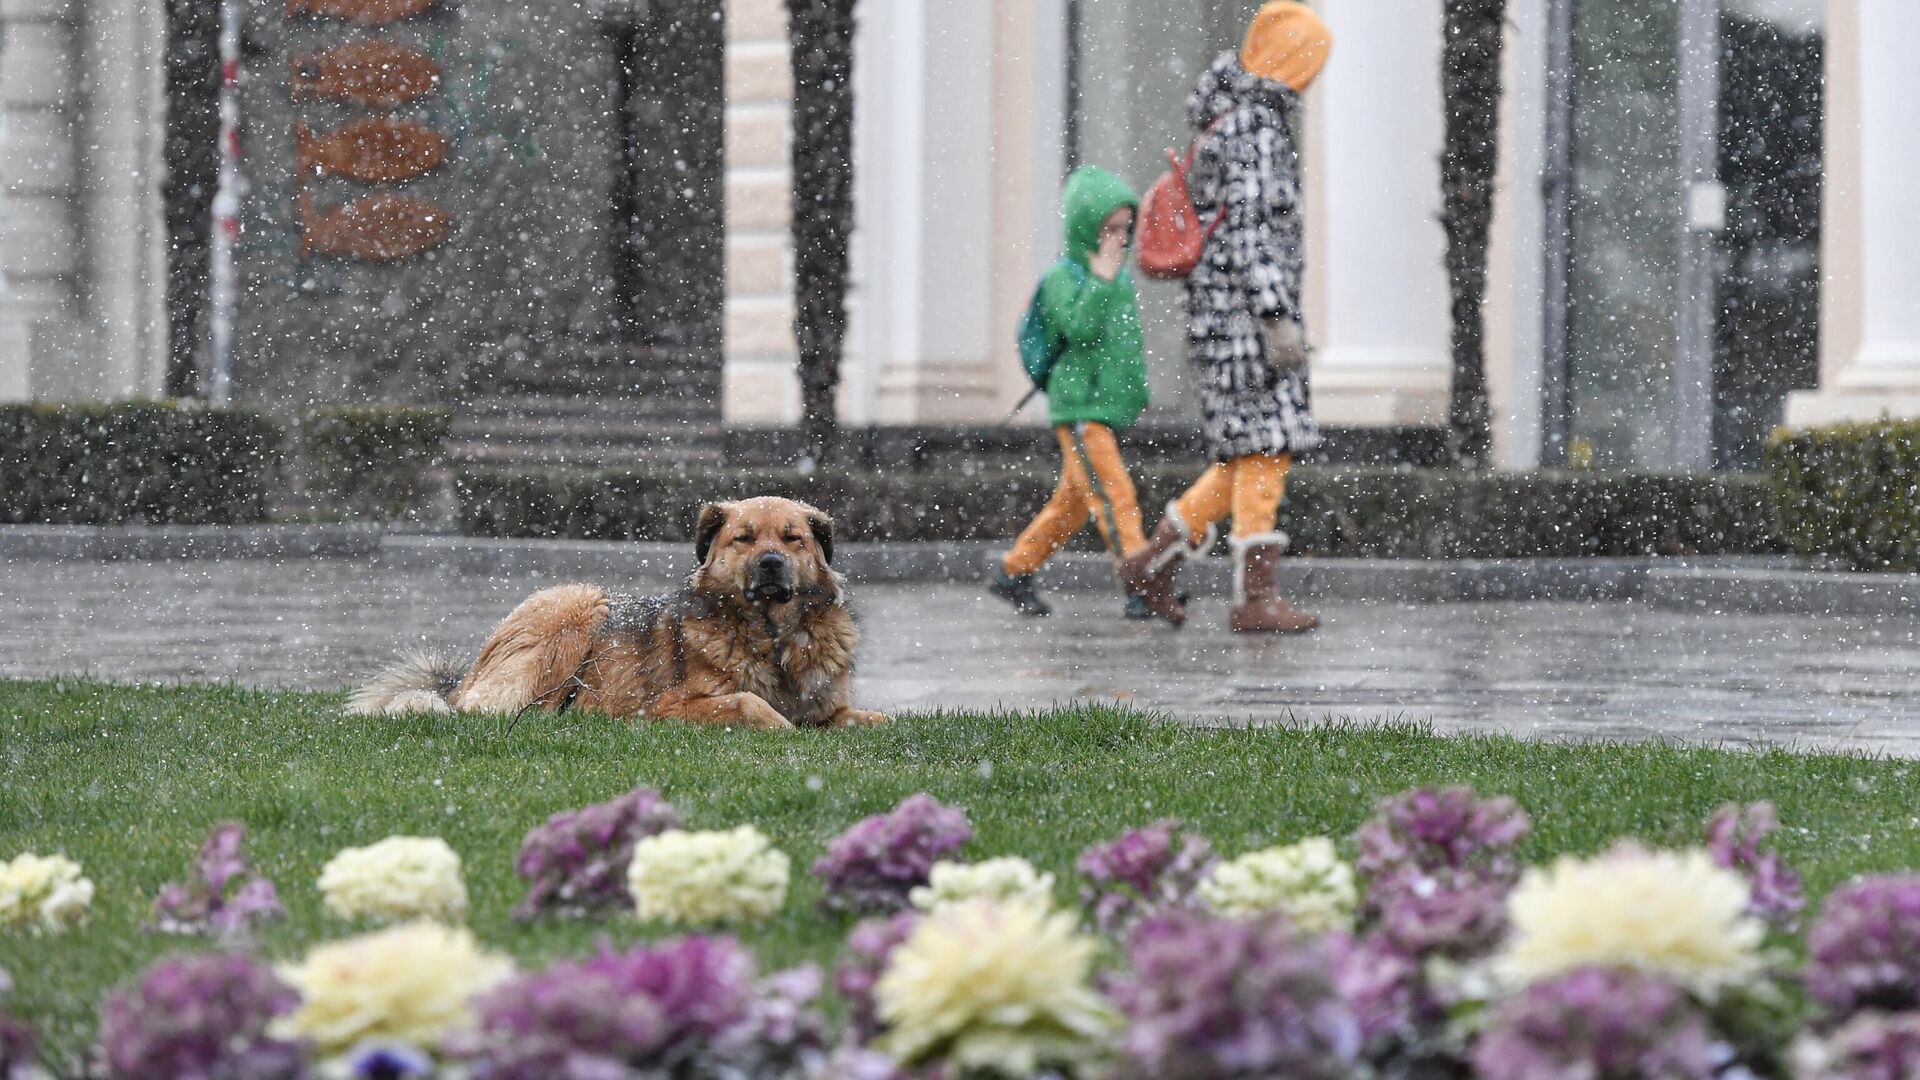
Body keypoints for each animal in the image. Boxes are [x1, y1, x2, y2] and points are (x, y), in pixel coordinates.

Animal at [345, 491, 883, 726]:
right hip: (578, 605)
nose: (771, 563)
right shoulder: (668, 706)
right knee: (496, 709)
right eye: (744, 538)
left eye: (793, 539)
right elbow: (752, 704)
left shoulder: (834, 707)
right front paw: (783, 728)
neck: (770, 635)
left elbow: (875, 718)